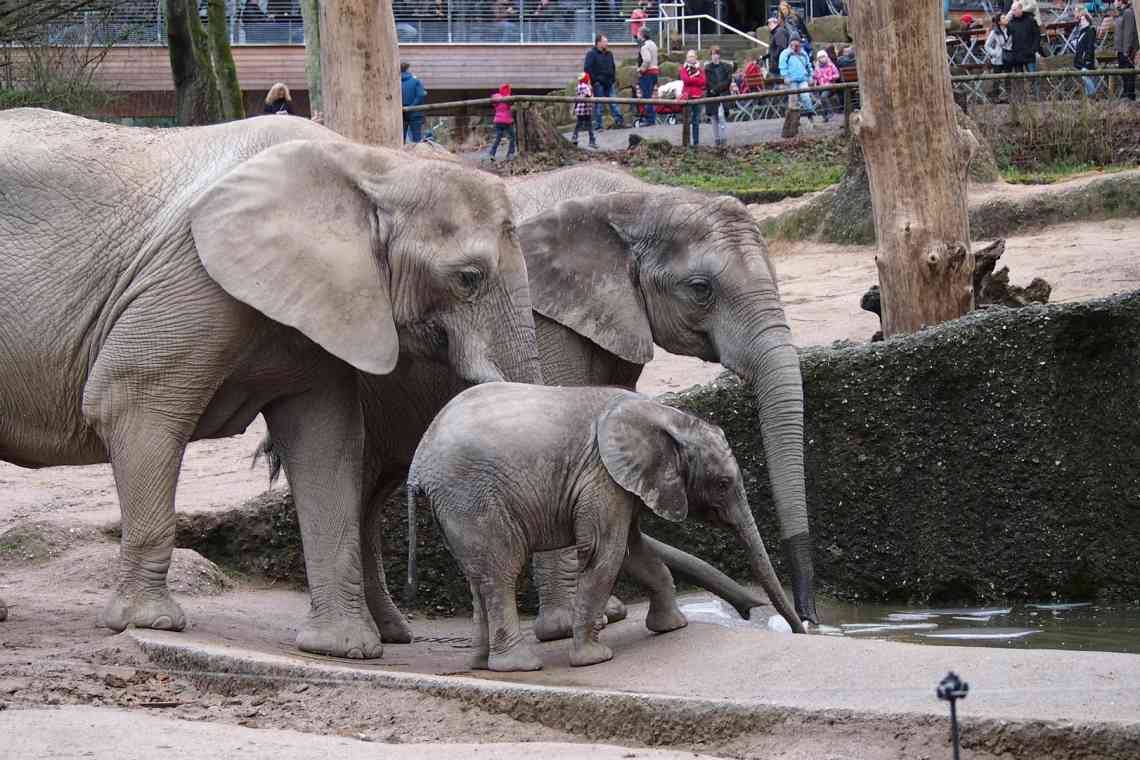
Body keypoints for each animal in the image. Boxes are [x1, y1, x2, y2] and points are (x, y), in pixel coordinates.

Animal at [0, 107, 540, 660]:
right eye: (469, 278)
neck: (372, 164)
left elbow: (326, 443)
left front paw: (341, 649)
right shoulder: (191, 278)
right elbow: (128, 400)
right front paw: (149, 623)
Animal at [410, 387, 802, 669]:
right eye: (722, 484)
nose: (803, 630)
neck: (665, 415)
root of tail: (419, 462)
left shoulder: (622, 486)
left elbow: (634, 551)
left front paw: (672, 627)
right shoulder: (602, 477)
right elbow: (604, 552)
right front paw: (593, 658)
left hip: (457, 507)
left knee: (478, 578)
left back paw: (480, 664)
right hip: (474, 497)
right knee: (501, 571)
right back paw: (519, 666)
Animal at [508, 166, 820, 638]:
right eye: (700, 288)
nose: (808, 620)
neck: (639, 200)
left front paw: (603, 615)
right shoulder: (544, 315)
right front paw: (564, 628)